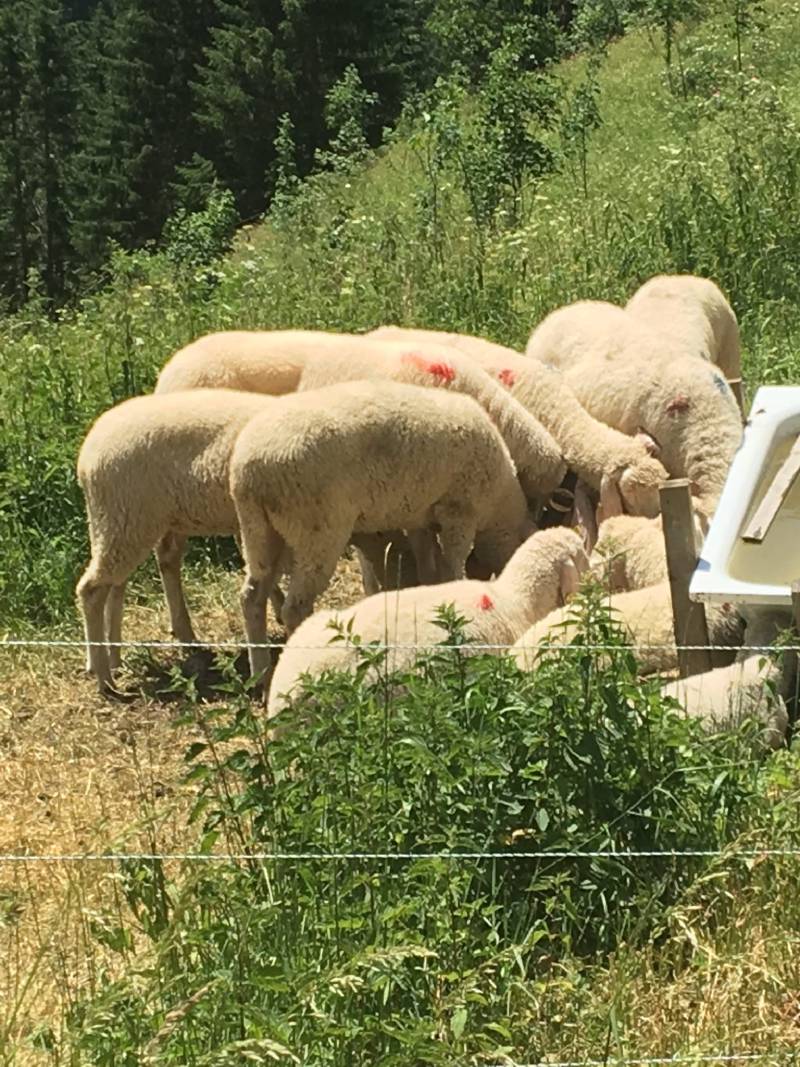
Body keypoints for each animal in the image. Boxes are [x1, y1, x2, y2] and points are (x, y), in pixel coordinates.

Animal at [230, 379, 535, 679]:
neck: (499, 505)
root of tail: (249, 473)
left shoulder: (419, 515)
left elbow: (426, 562)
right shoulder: (459, 512)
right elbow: (452, 564)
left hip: (261, 532)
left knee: (251, 596)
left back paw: (260, 672)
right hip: (315, 529)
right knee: (295, 607)